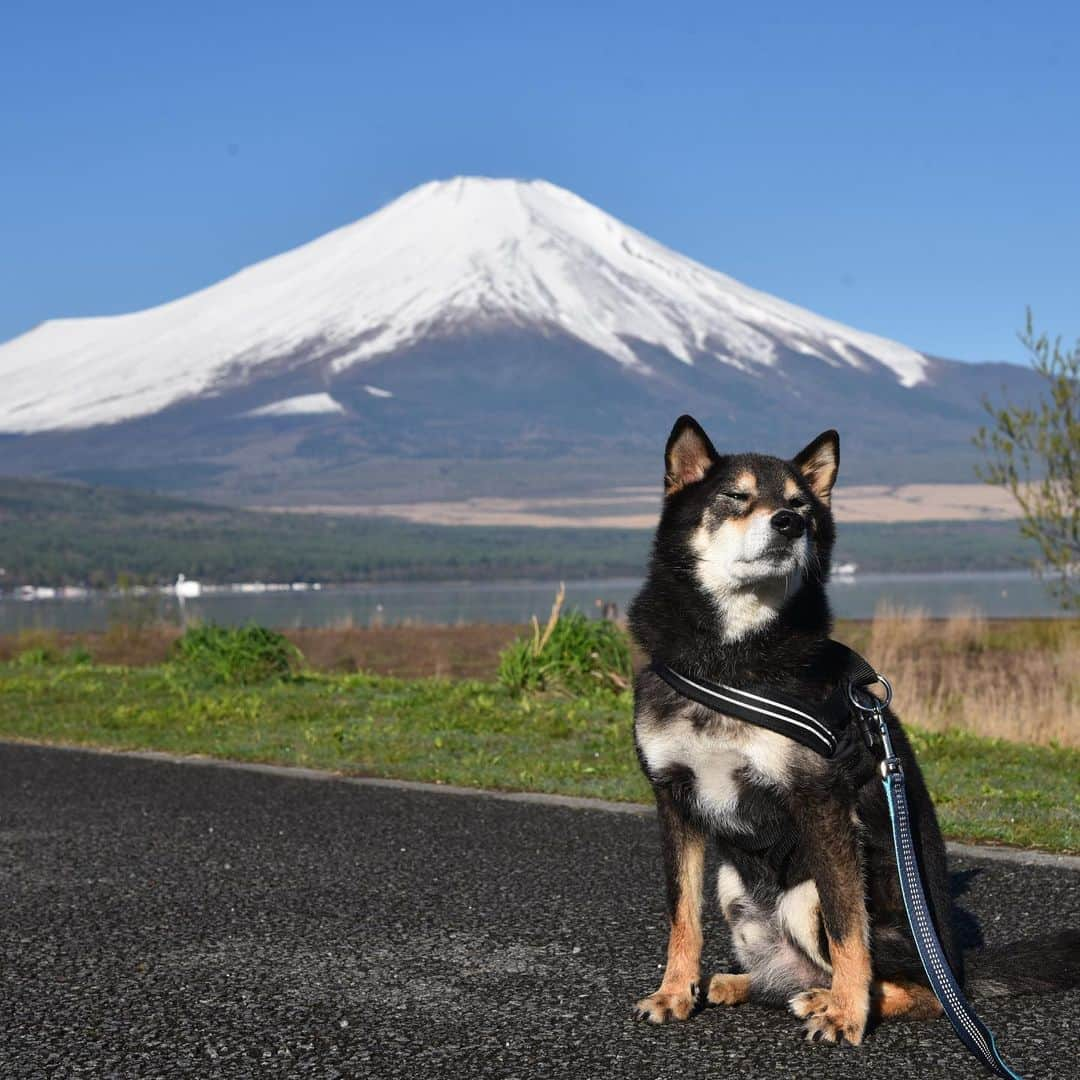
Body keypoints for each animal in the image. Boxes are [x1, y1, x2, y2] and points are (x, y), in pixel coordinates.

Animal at [630, 414, 1075, 1045]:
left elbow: (848, 928)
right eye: (735, 496)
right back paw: (737, 984)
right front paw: (674, 993)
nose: (789, 523)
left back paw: (833, 998)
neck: (728, 658)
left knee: (918, 990)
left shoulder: (823, 804)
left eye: (801, 505)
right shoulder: (674, 798)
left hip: (813, 900)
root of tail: (958, 967)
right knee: (782, 975)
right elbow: (681, 914)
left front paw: (846, 1014)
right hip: (737, 890)